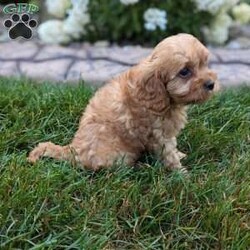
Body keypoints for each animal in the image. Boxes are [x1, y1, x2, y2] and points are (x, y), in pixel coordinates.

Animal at [28, 33, 218, 172]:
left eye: (205, 63)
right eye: (184, 72)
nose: (211, 84)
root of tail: (73, 150)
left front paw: (180, 157)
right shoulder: (158, 135)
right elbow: (168, 154)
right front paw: (182, 175)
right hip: (120, 154)